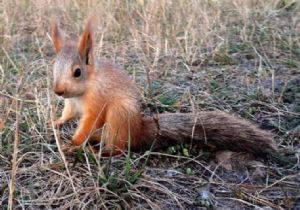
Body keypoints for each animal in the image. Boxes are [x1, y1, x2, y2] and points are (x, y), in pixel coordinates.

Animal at [49, 17, 276, 157]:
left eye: (77, 72)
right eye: (54, 66)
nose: (58, 91)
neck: (83, 90)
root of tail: (138, 129)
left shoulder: (97, 100)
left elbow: (89, 121)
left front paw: (73, 143)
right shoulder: (71, 103)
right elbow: (68, 114)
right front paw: (55, 122)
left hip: (119, 115)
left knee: (119, 148)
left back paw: (98, 151)